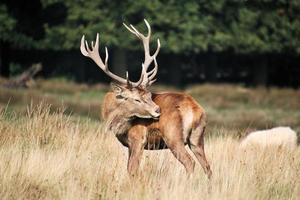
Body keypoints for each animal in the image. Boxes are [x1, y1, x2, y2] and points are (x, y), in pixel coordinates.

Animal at [79, 19, 211, 178]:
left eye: (148, 96)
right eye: (137, 99)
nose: (157, 110)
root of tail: (194, 109)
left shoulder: (138, 139)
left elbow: (132, 169)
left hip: (173, 136)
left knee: (189, 163)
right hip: (197, 138)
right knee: (208, 167)